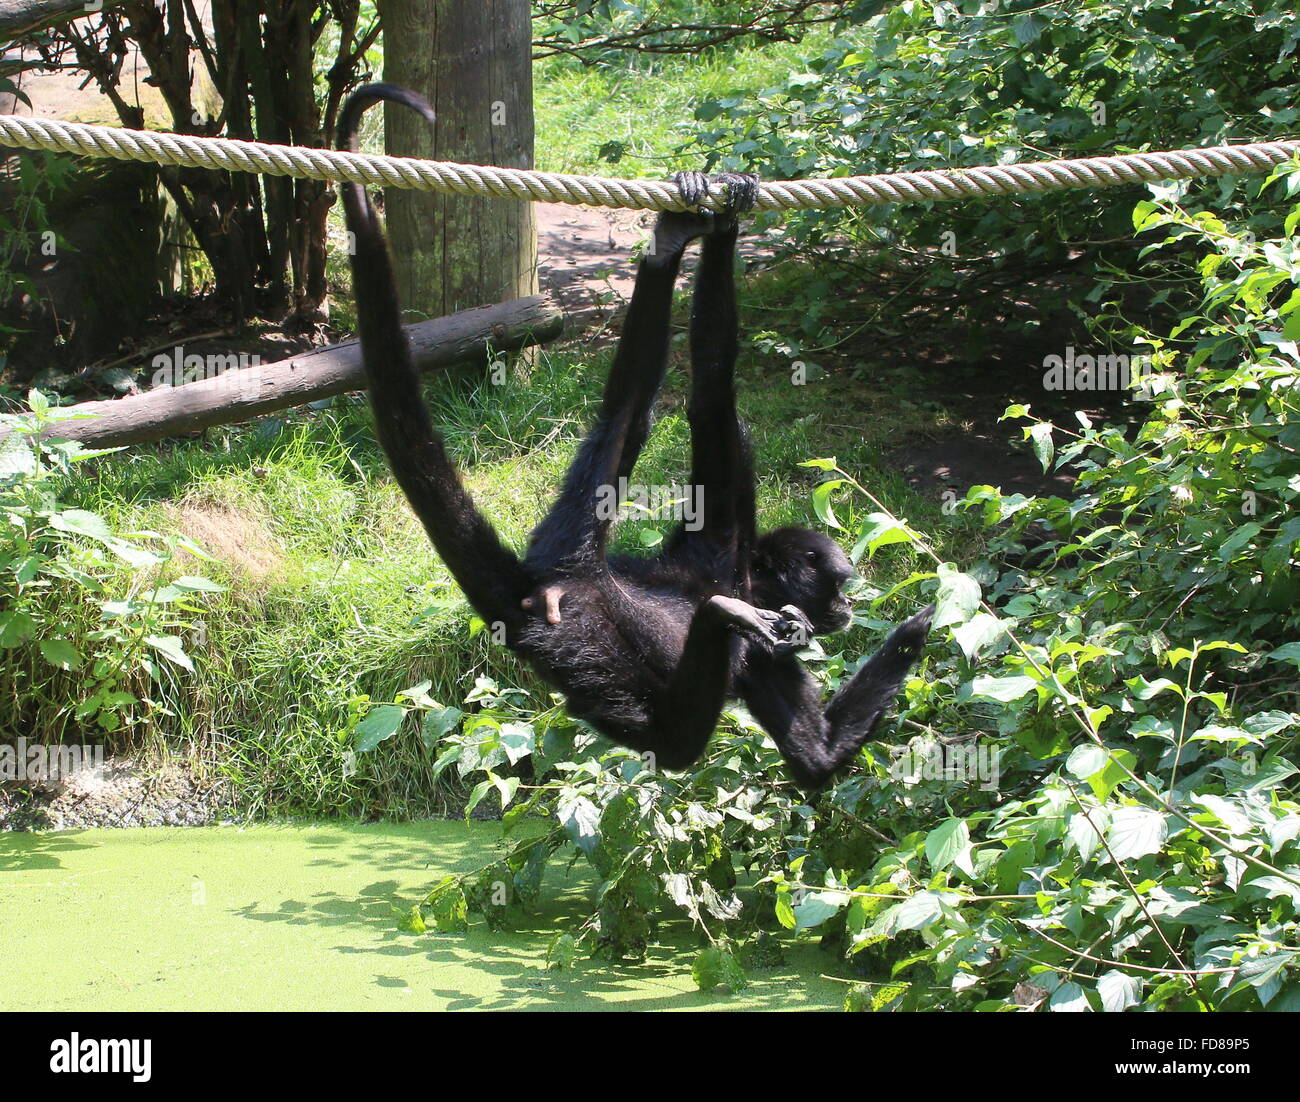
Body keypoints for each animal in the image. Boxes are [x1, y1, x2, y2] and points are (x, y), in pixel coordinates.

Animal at [330, 85, 930, 790]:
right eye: (836, 582)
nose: (844, 610)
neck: (747, 581)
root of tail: (559, 587)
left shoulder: (766, 644)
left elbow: (819, 757)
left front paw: (918, 627)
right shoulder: (724, 539)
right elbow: (712, 395)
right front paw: (726, 230)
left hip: (567, 546)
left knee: (623, 418)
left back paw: (666, 248)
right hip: (585, 647)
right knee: (671, 739)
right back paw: (717, 619)